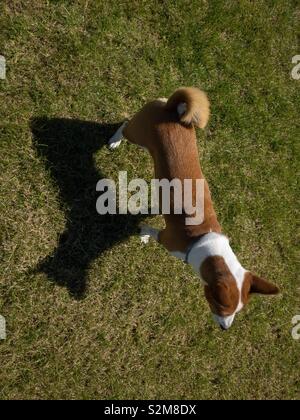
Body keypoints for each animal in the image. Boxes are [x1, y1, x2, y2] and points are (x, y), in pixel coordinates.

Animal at [108, 87, 278, 330]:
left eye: (238, 311)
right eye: (219, 306)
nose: (225, 329)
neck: (205, 242)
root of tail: (172, 109)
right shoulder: (168, 241)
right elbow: (149, 230)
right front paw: (143, 234)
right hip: (137, 134)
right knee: (124, 125)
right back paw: (114, 141)